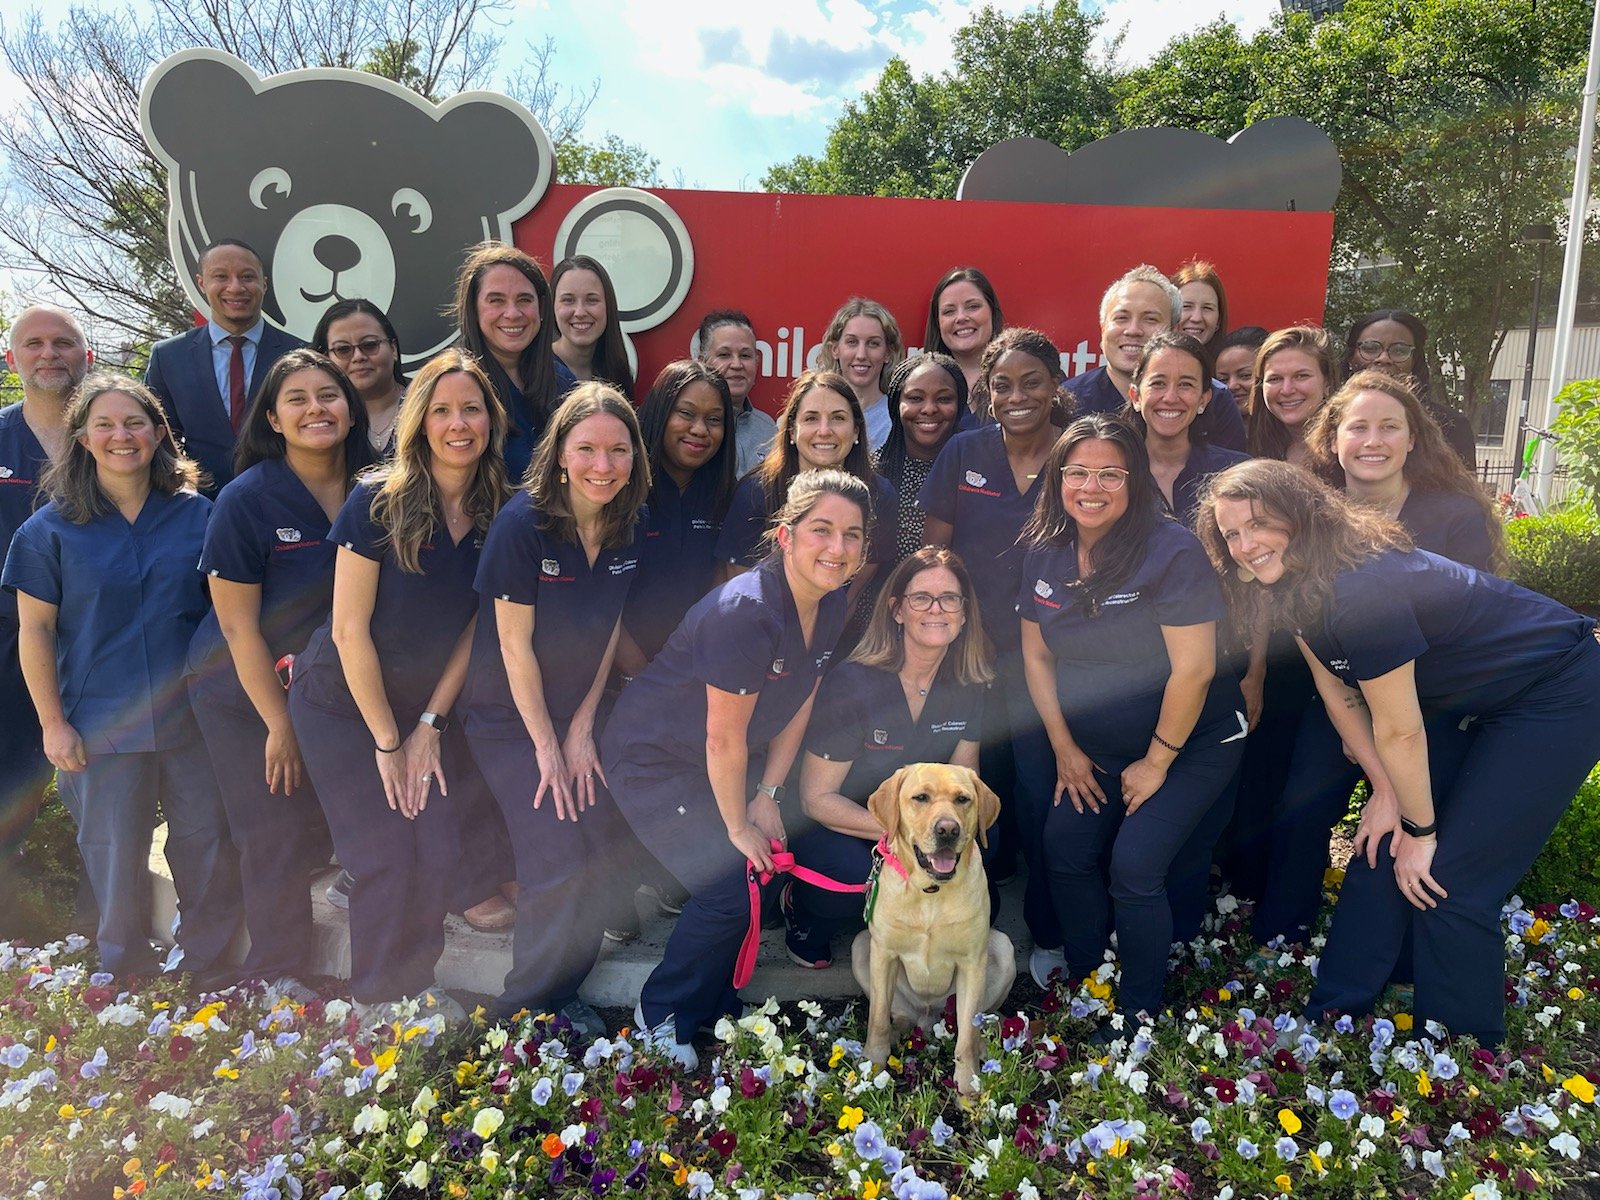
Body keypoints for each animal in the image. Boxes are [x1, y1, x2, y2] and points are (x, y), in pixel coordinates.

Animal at [851, 764, 1011, 1094]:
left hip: (1003, 948)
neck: (930, 891)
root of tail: (928, 1020)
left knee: (975, 1022)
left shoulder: (972, 962)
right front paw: (872, 1065)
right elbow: (877, 1020)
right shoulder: (883, 953)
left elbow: (966, 1036)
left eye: (962, 799)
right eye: (921, 798)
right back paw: (897, 1030)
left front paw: (968, 1086)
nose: (947, 829)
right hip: (861, 946)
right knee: (893, 1013)